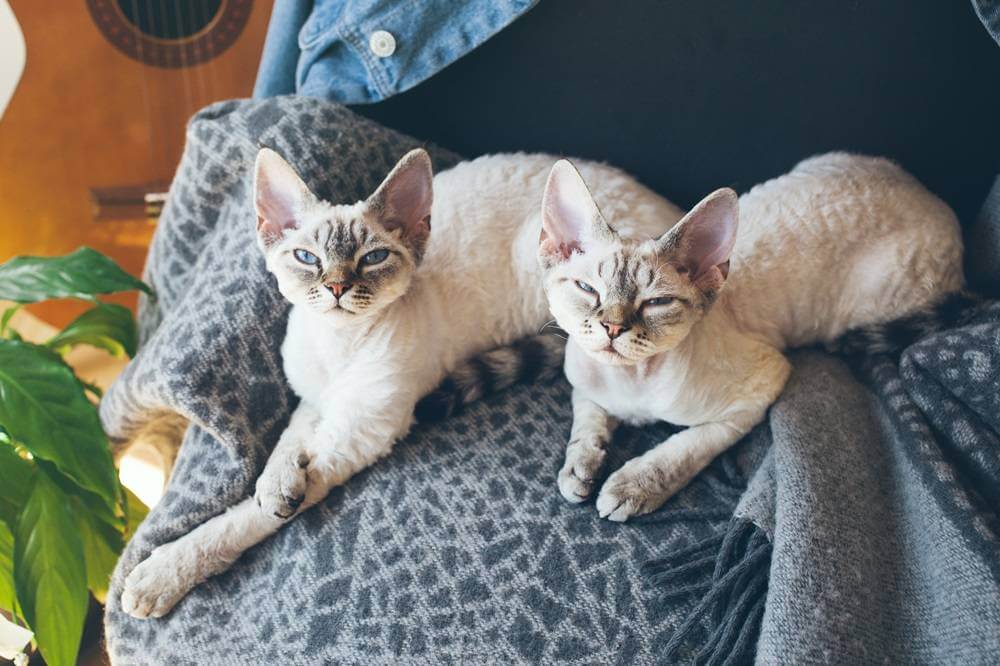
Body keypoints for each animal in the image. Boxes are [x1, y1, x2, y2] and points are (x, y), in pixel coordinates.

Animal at [115, 148, 680, 616]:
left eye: (372, 258)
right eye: (307, 258)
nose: (337, 287)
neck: (336, 347)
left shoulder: (357, 437)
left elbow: (247, 518)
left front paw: (158, 577)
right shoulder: (312, 403)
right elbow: (282, 452)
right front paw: (275, 483)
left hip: (587, 321)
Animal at [532, 152, 968, 520]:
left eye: (656, 302)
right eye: (587, 290)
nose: (613, 327)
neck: (627, 381)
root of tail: (939, 206)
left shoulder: (759, 390)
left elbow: (686, 448)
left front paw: (632, 486)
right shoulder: (584, 381)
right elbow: (586, 423)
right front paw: (579, 470)